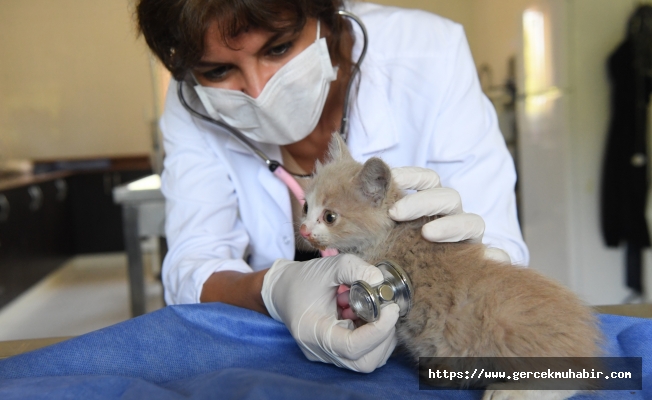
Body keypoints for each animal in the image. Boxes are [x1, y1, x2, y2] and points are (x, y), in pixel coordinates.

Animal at [300, 135, 600, 400]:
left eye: (330, 217)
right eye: (305, 207)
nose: (303, 230)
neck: (389, 237)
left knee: (569, 380)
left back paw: (509, 391)